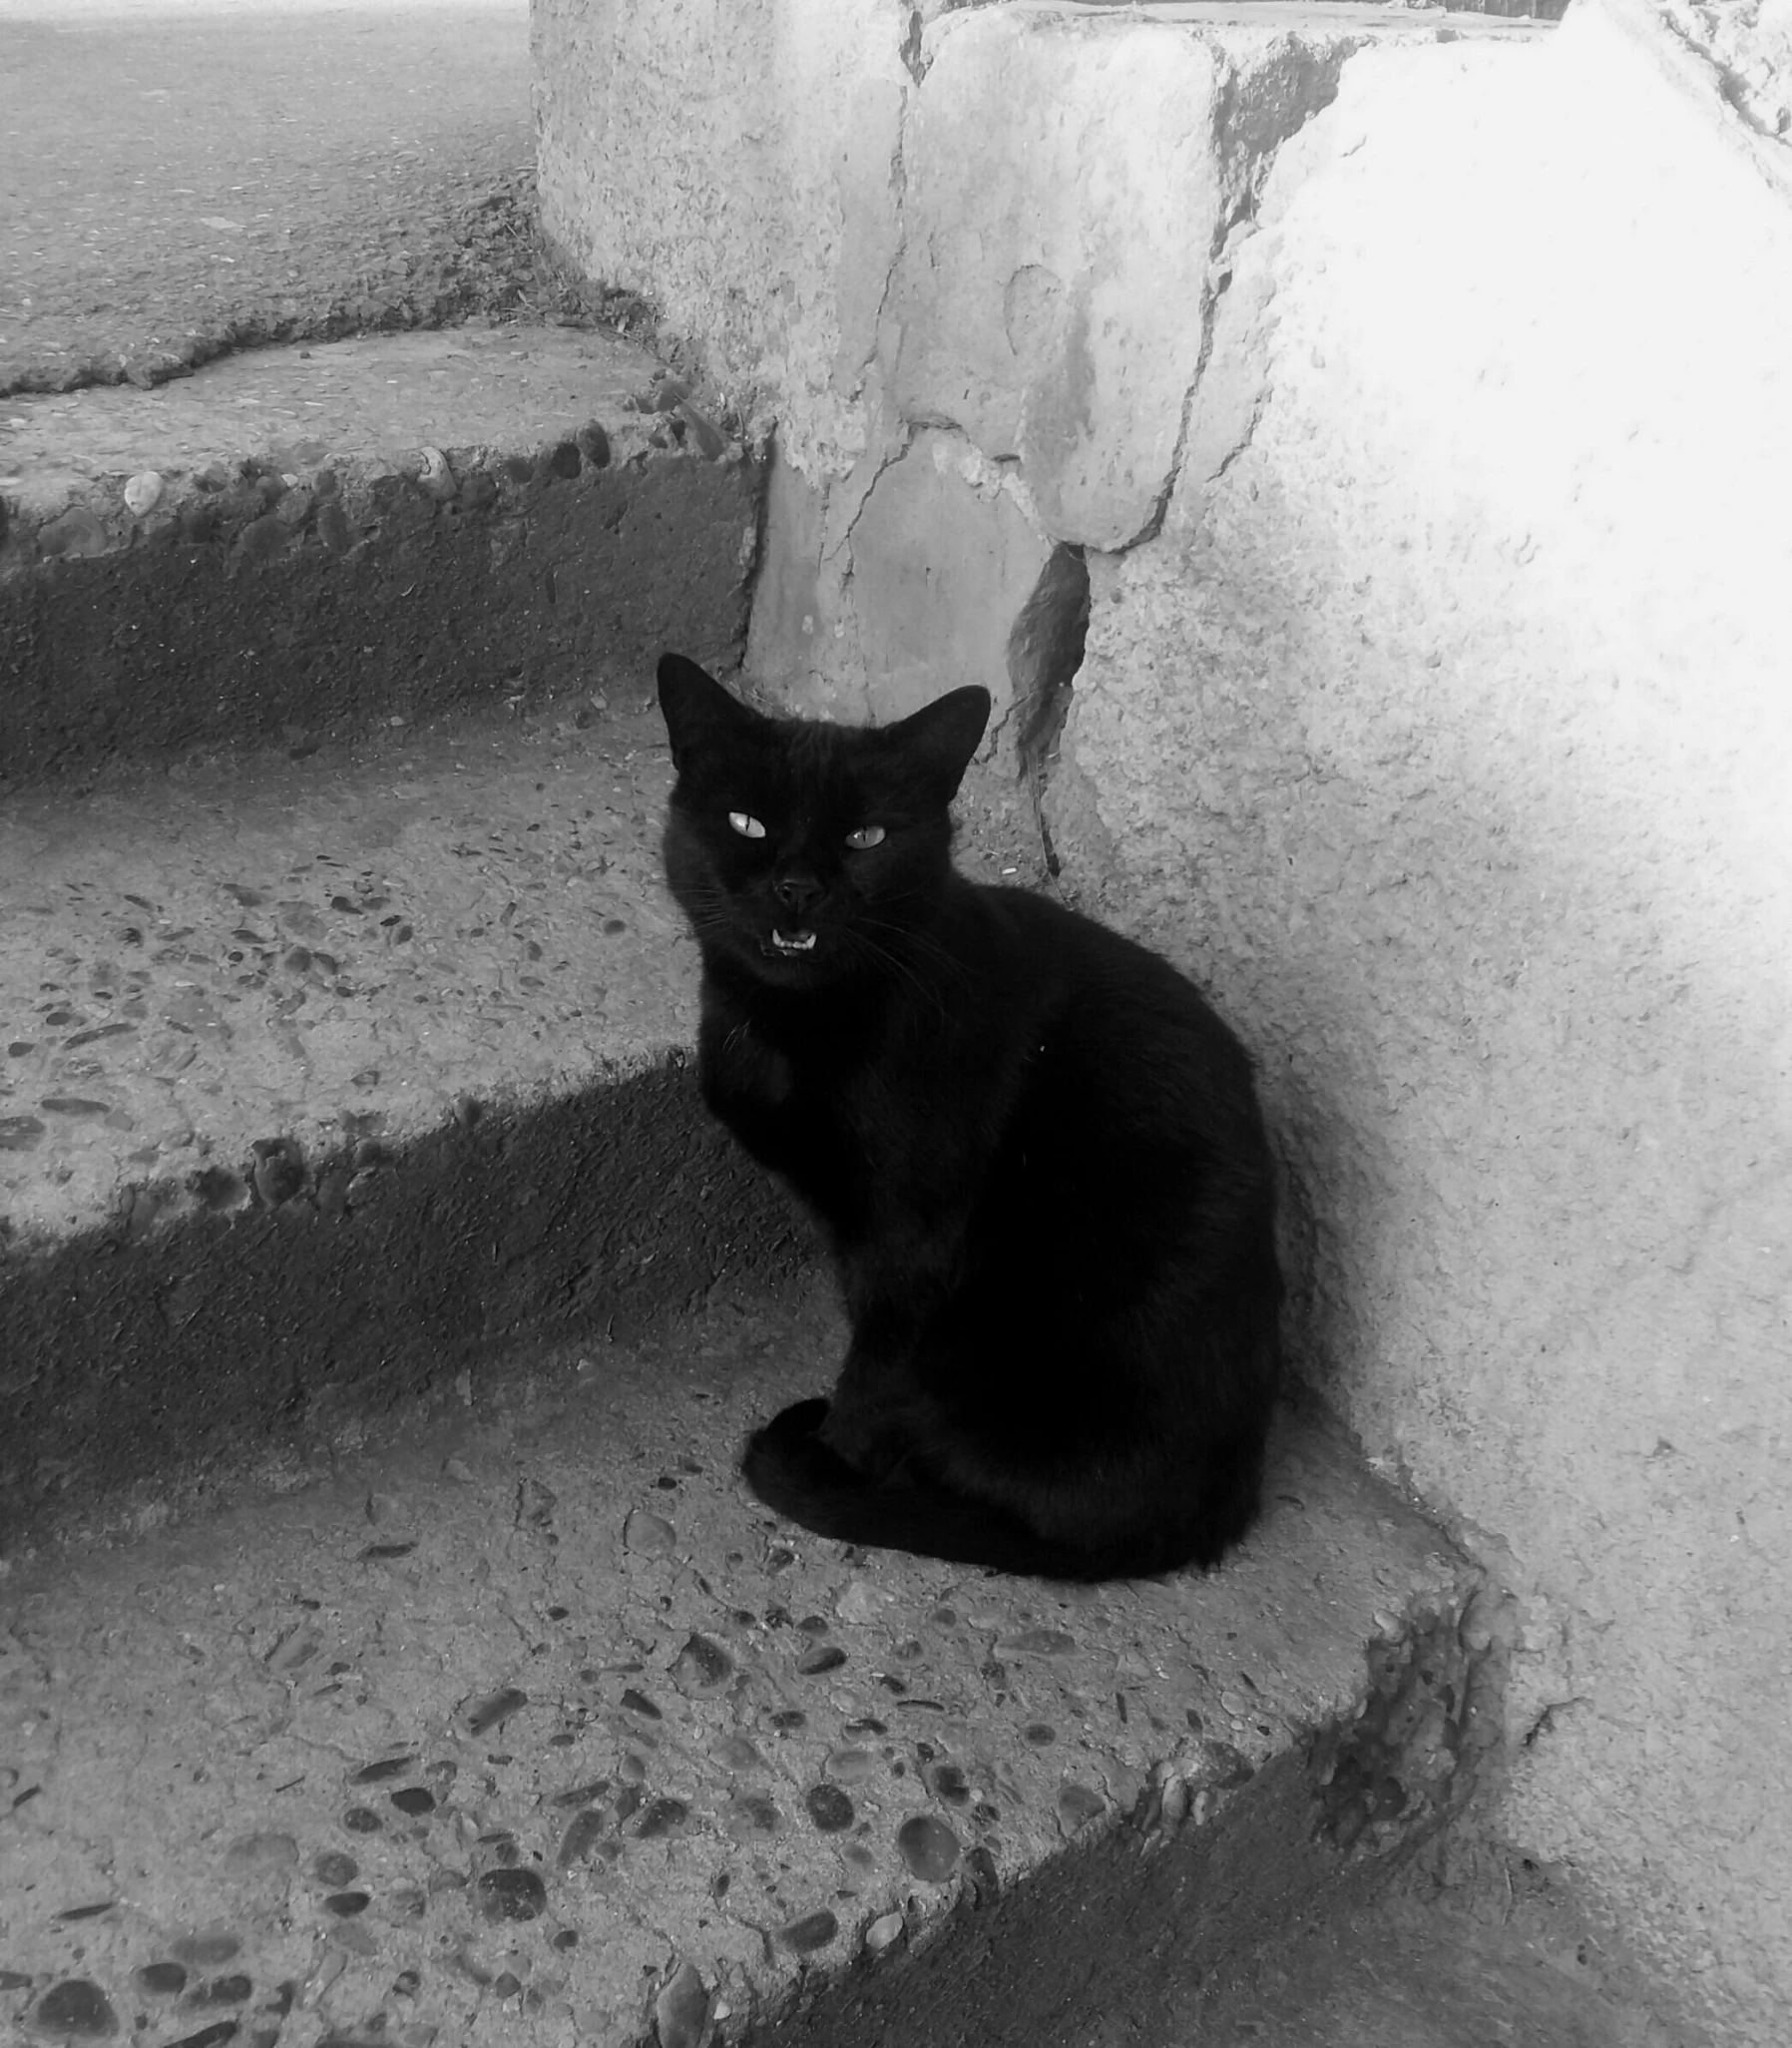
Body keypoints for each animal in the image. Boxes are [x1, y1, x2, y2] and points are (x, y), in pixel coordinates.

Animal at [659, 655, 1286, 1581]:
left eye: (867, 839)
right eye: (747, 823)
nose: (798, 888)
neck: (791, 1029)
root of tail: (1218, 1512)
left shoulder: (911, 1236)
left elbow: (875, 1369)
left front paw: (834, 1459)